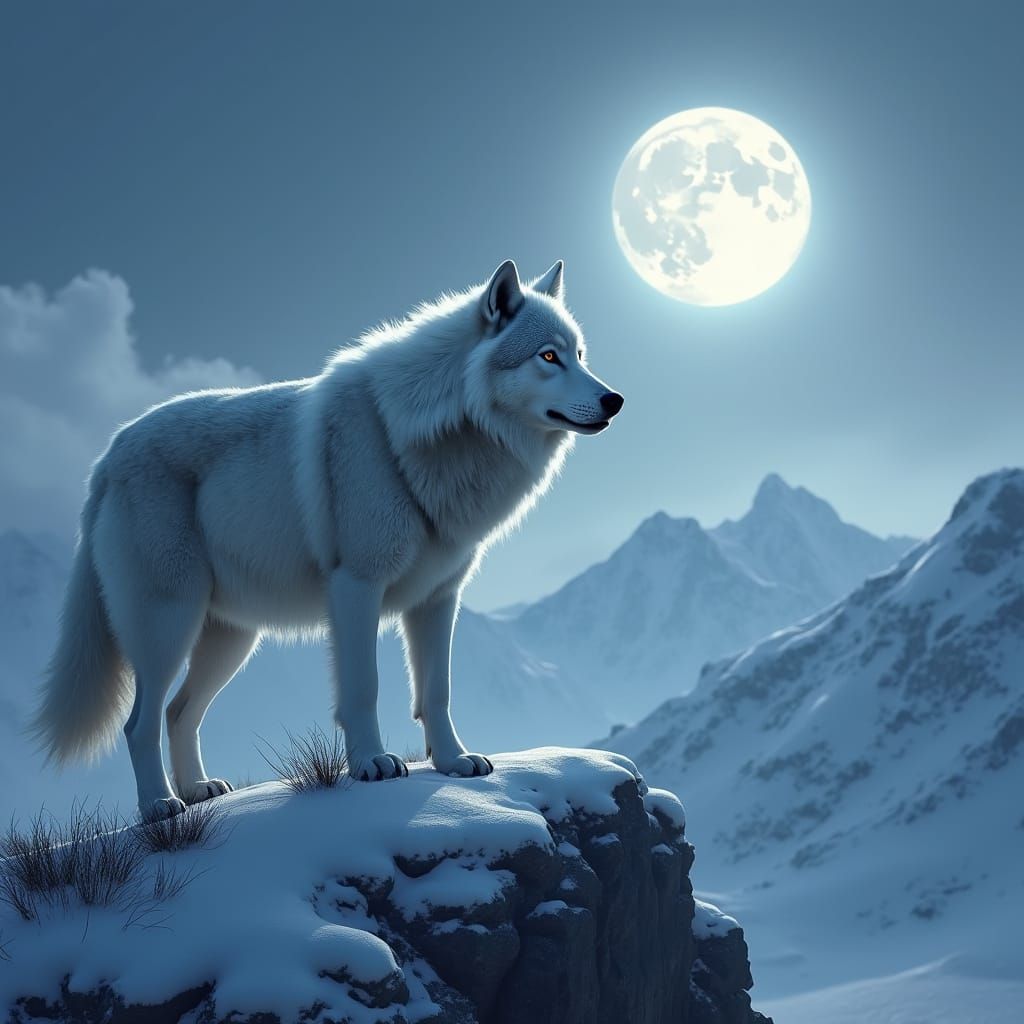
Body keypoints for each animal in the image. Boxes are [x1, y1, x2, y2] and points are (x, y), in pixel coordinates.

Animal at [32, 259, 623, 819]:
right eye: (548, 357)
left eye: (580, 355)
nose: (615, 399)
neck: (421, 433)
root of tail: (107, 456)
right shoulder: (356, 588)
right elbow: (364, 688)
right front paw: (372, 764)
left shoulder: (438, 600)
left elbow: (437, 692)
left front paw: (455, 763)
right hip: (168, 624)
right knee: (139, 723)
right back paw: (160, 806)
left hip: (230, 639)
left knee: (179, 712)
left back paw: (199, 791)